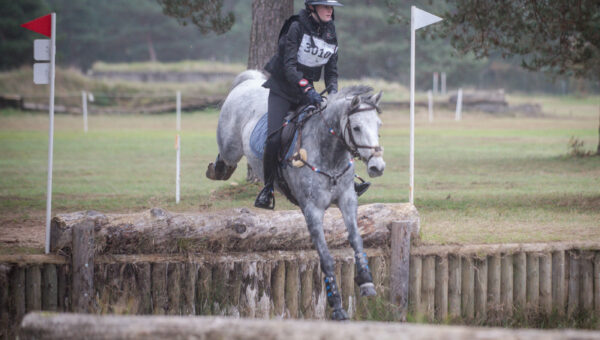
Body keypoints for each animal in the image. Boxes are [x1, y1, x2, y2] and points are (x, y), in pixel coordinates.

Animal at [206, 70, 384, 320]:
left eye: (378, 125)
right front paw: (336, 304)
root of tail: (249, 81)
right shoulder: (312, 210)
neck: (329, 153)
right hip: (231, 146)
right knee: (226, 158)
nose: (378, 166)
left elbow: (356, 239)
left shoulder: (348, 200)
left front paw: (367, 281)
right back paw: (217, 169)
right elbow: (325, 256)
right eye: (357, 128)